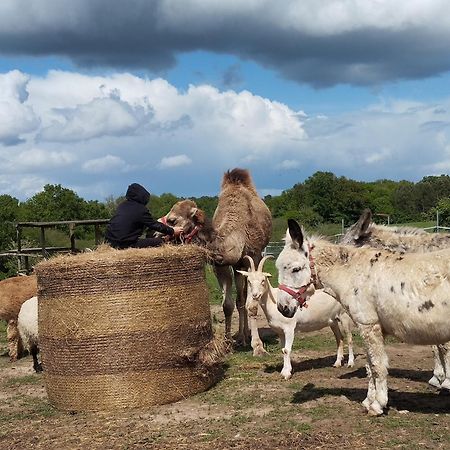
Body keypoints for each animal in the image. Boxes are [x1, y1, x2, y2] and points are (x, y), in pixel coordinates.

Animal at [163, 169, 272, 348]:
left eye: (172, 220)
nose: (155, 233)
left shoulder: (254, 256)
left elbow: (252, 302)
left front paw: (256, 343)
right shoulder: (221, 264)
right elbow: (227, 305)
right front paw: (228, 342)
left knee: (243, 296)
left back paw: (246, 336)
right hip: (237, 266)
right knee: (240, 298)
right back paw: (242, 336)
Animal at [276, 218, 450, 414]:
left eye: (295, 269)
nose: (282, 308)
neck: (352, 274)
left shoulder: (369, 325)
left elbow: (376, 365)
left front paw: (377, 405)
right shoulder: (369, 328)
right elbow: (369, 365)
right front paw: (369, 400)